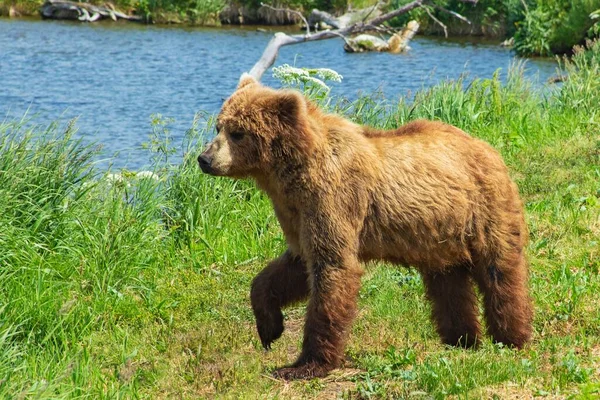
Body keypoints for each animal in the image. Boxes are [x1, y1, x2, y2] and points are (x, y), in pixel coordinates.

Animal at [199, 73, 532, 380]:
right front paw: (269, 328)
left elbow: (332, 267)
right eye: (219, 126)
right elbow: (290, 266)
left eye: (238, 133)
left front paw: (307, 364)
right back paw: (461, 338)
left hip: (482, 210)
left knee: (500, 270)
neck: (291, 172)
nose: (205, 158)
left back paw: (511, 337)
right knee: (448, 283)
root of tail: (489, 148)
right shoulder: (296, 213)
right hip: (440, 233)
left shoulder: (334, 198)